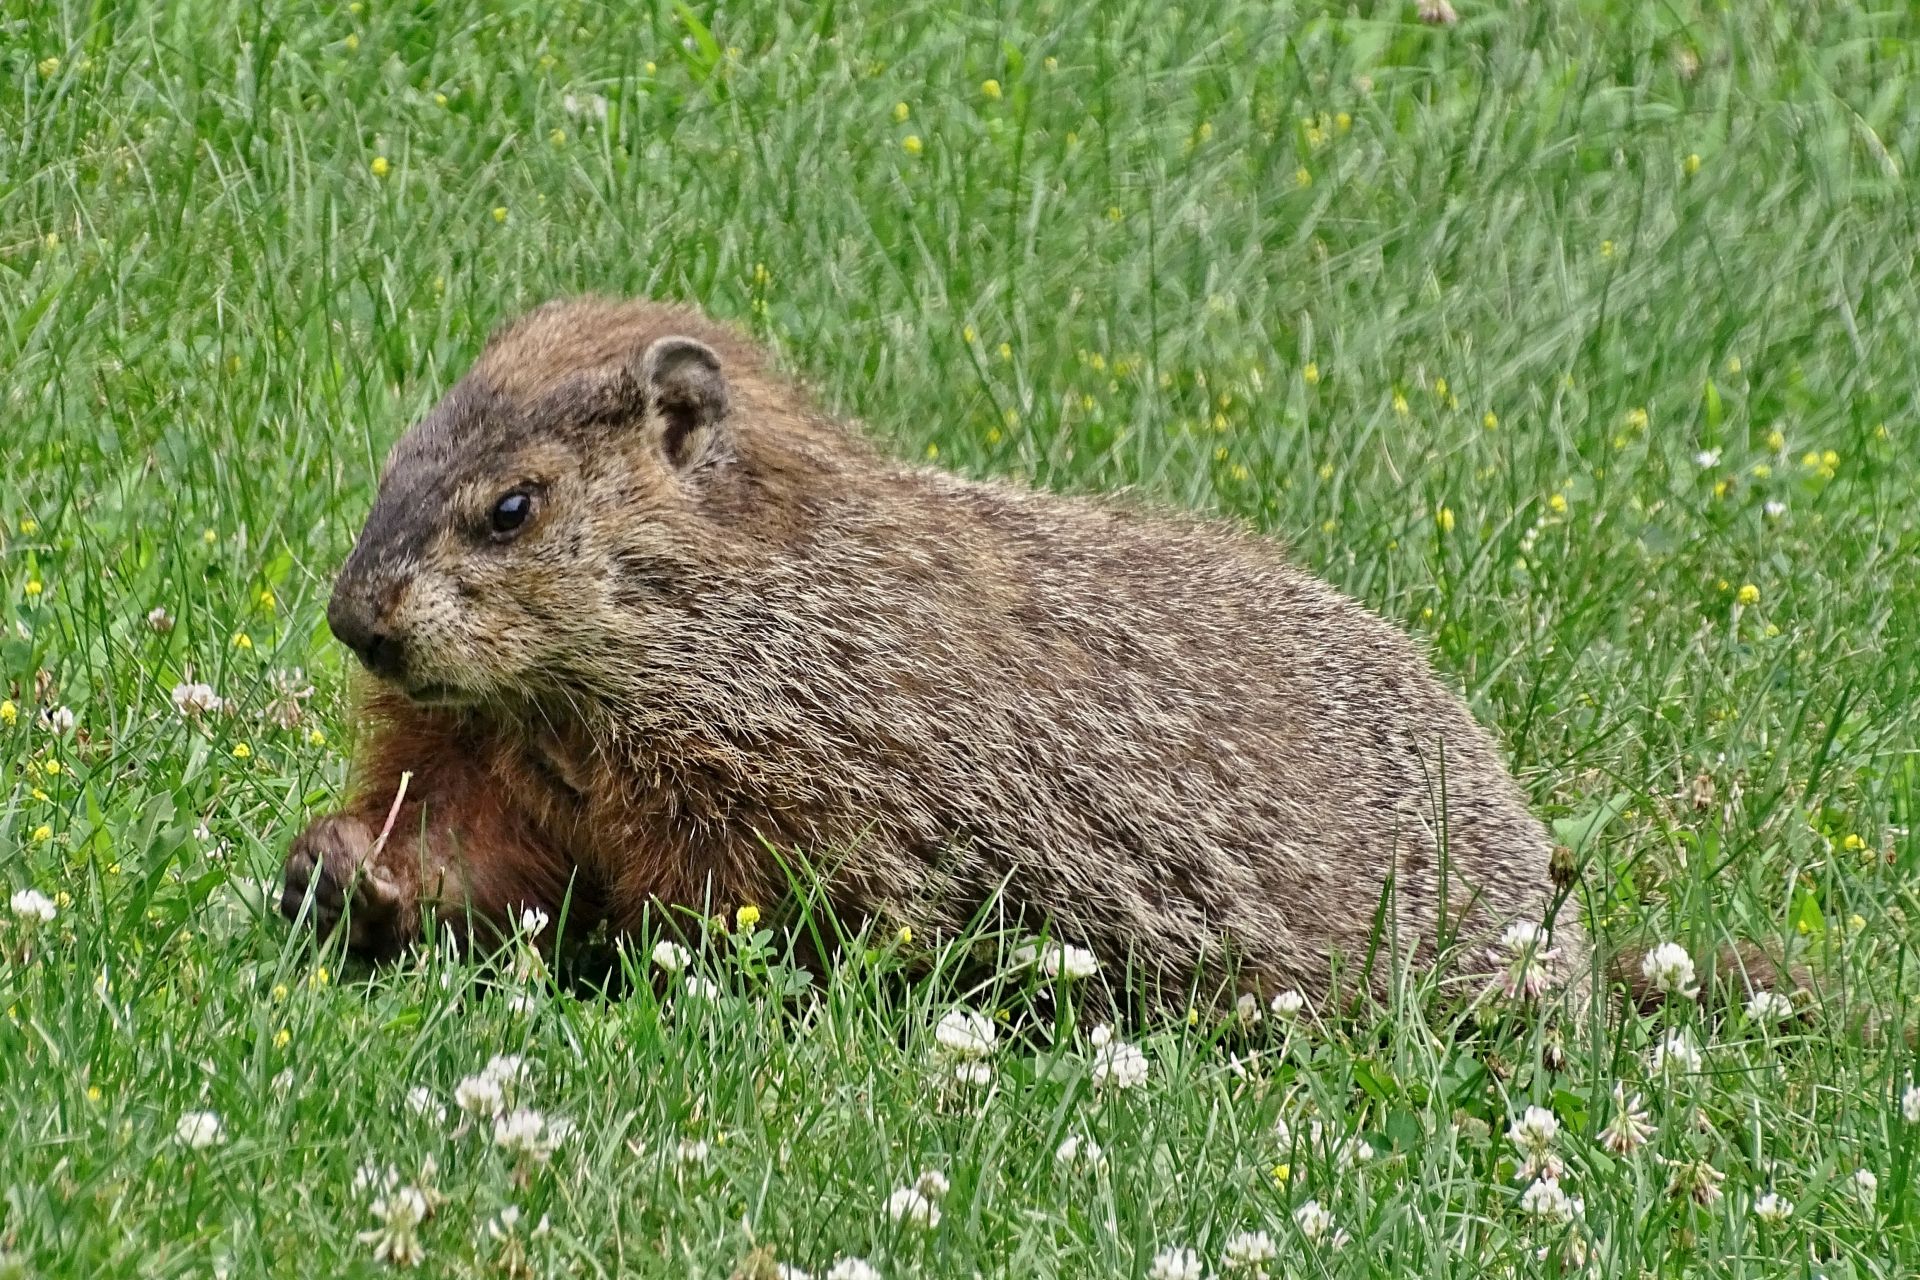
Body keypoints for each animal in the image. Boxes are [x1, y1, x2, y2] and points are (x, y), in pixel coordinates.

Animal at [279, 296, 1588, 1007]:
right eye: (394, 460)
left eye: (513, 507)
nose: (356, 619)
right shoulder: (498, 733)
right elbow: (481, 825)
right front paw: (345, 863)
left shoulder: (788, 755)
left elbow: (754, 889)